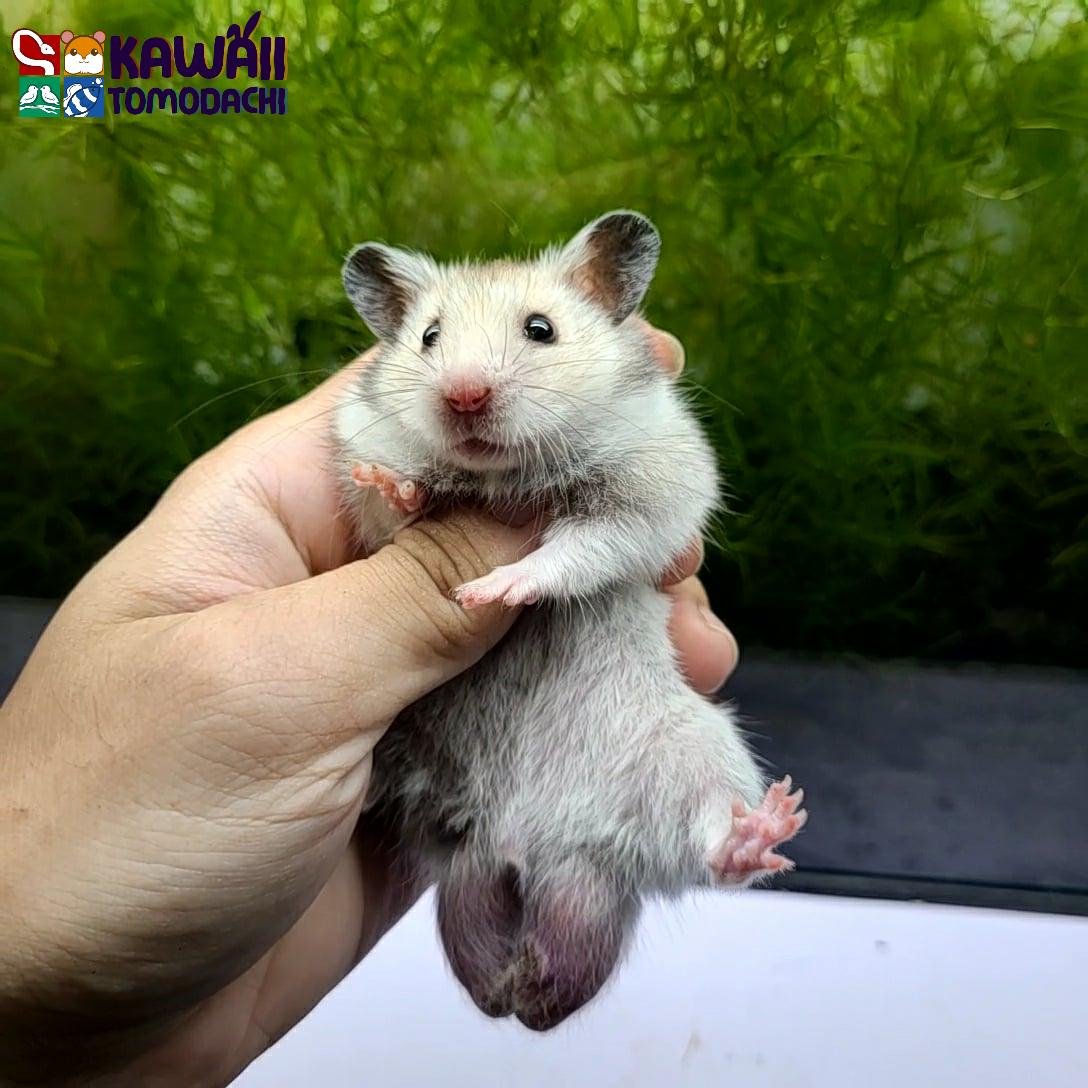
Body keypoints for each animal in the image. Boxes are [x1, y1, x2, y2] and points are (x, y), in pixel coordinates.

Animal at [334, 211, 807, 1030]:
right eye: (429, 337)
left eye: (541, 329)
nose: (463, 395)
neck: (500, 477)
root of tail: (519, 844)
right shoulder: (361, 446)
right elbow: (387, 506)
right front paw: (397, 484)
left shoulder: (654, 492)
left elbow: (580, 550)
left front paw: (491, 589)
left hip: (690, 750)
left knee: (714, 847)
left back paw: (764, 826)